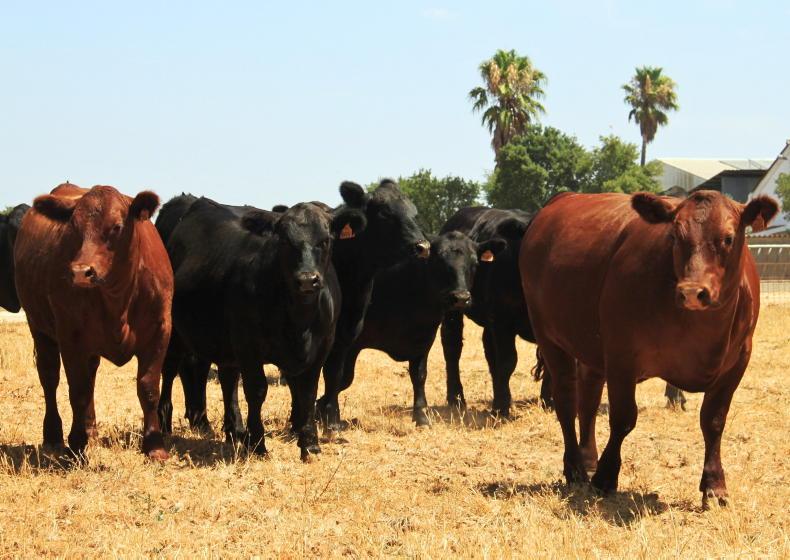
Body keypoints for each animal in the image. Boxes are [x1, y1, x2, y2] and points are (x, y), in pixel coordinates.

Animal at [14, 183, 172, 460]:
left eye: (117, 227)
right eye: (74, 228)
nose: (80, 272)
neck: (118, 298)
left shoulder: (160, 331)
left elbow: (149, 388)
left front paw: (155, 445)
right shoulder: (70, 337)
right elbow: (78, 391)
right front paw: (77, 445)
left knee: (90, 377)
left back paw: (92, 432)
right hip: (39, 329)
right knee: (50, 378)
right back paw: (54, 436)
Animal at [332, 231, 507, 426]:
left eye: (475, 263)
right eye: (438, 261)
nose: (461, 298)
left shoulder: (423, 338)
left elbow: (419, 375)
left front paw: (421, 416)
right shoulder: (347, 343)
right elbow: (340, 378)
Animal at [438, 207, 547, 418]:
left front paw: (550, 401)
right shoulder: (502, 321)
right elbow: (507, 361)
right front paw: (501, 408)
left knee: (489, 352)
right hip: (453, 310)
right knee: (452, 346)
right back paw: (456, 398)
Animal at [519, 190, 778, 507]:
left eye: (728, 238)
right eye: (675, 235)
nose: (692, 292)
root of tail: (562, 199)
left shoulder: (738, 362)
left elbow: (714, 421)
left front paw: (715, 486)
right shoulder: (621, 355)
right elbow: (623, 418)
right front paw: (605, 477)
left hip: (591, 350)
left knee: (588, 401)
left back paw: (588, 459)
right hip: (549, 336)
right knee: (567, 400)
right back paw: (576, 469)